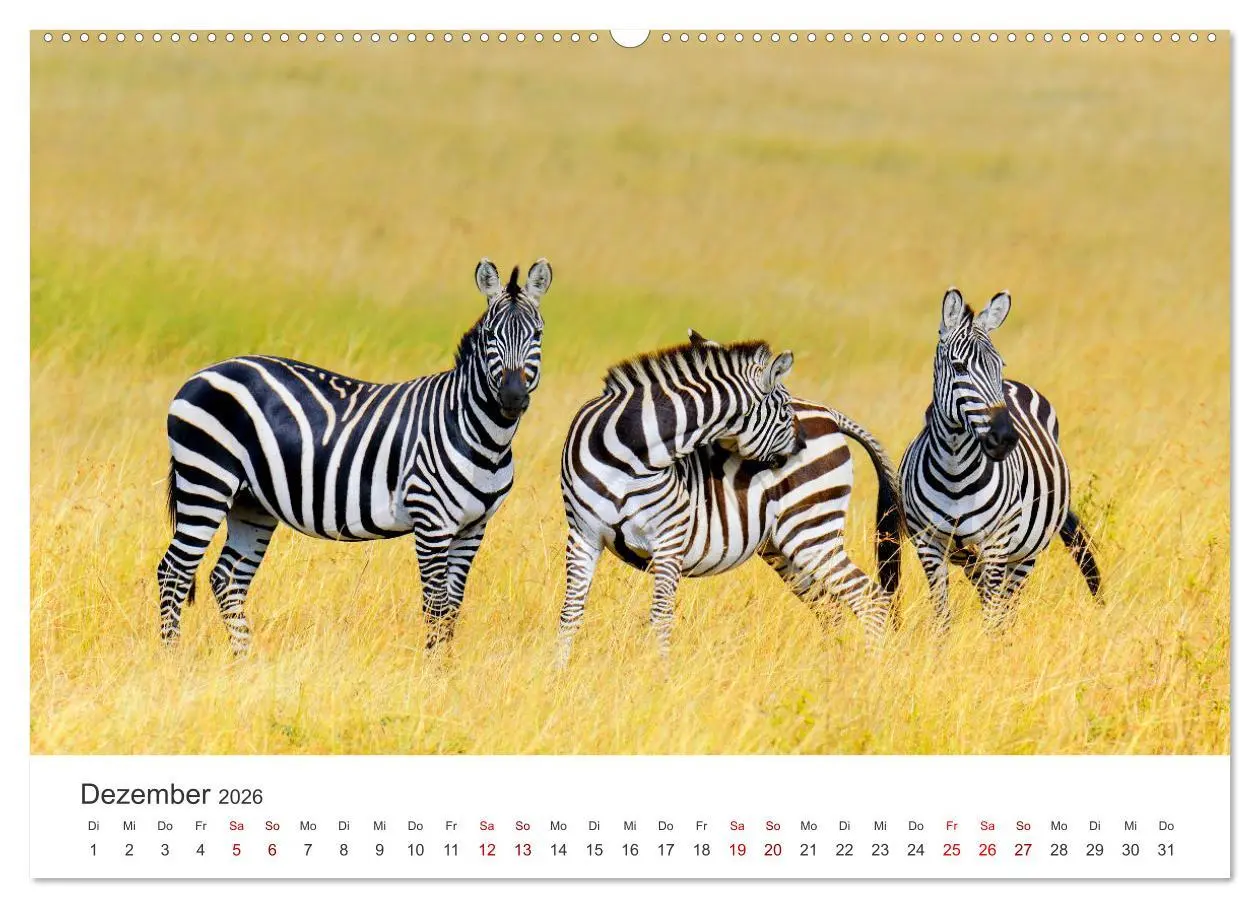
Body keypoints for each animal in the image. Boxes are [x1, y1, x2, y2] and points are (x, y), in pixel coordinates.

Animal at [156, 257, 553, 653]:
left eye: (537, 336)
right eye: (490, 337)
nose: (513, 398)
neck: (481, 437)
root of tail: (203, 373)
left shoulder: (473, 528)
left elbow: (453, 606)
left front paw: (446, 664)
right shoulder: (431, 522)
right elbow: (435, 605)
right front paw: (433, 666)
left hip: (251, 503)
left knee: (227, 578)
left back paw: (244, 659)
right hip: (206, 481)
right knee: (174, 570)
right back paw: (173, 656)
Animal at [557, 330, 903, 665]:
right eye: (784, 414)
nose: (800, 448)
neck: (630, 456)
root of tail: (829, 415)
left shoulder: (669, 538)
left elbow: (661, 617)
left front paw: (660, 675)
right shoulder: (583, 535)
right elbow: (570, 613)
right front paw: (558, 673)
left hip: (811, 530)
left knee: (869, 598)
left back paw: (871, 670)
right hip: (784, 547)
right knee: (832, 608)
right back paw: (838, 671)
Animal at [899, 287, 1102, 635]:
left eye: (999, 365)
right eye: (958, 367)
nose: (1005, 438)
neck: (955, 474)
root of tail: (1016, 385)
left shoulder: (996, 542)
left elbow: (993, 616)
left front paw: (987, 647)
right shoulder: (929, 543)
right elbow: (942, 616)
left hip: (1025, 550)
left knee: (1007, 603)